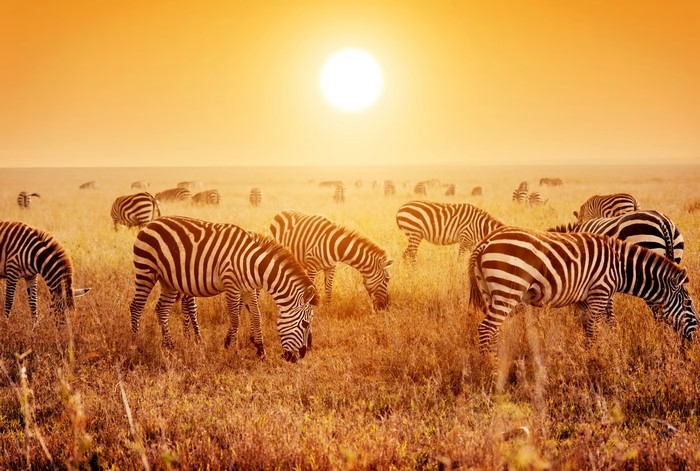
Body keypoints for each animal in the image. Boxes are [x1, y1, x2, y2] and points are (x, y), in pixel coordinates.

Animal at [130, 216, 317, 362]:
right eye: (305, 324)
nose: (299, 357)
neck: (252, 264)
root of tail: (151, 223)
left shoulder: (248, 289)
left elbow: (257, 317)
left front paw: (260, 351)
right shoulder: (231, 285)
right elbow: (235, 319)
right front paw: (234, 352)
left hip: (168, 280)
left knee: (162, 309)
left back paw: (169, 346)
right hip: (146, 270)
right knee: (136, 307)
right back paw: (136, 344)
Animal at [468, 227, 698, 354]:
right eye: (688, 304)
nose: (696, 338)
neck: (620, 267)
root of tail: (486, 241)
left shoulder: (585, 297)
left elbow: (595, 325)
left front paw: (604, 351)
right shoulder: (601, 290)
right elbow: (595, 328)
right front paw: (595, 359)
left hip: (491, 291)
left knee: (493, 330)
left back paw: (496, 360)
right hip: (508, 288)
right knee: (486, 328)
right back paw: (489, 367)